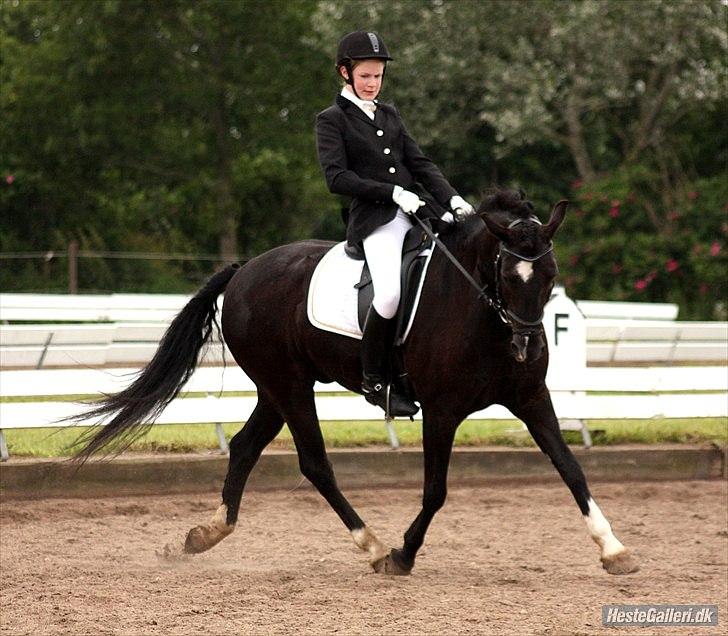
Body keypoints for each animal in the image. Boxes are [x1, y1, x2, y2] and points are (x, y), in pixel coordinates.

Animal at [72, 188, 636, 576]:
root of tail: (245, 270)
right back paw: (371, 544)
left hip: (276, 389)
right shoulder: (442, 411)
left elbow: (571, 468)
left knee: (245, 447)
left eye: (549, 275)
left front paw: (614, 550)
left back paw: (206, 534)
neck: (478, 309)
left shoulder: (531, 398)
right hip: (290, 386)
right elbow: (435, 490)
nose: (527, 346)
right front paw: (403, 555)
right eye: (505, 274)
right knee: (314, 463)